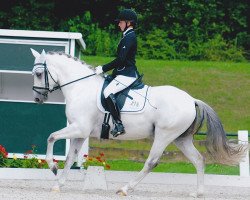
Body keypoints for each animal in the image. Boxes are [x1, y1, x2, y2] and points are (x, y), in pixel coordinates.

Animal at [30, 49, 245, 198]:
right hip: (181, 139)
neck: (80, 87)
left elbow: (51, 137)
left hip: (164, 135)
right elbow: (69, 158)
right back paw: (198, 193)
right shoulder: (81, 132)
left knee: (151, 162)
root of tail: (191, 99)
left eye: (39, 74)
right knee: (199, 160)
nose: (38, 99)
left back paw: (125, 189)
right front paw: (58, 184)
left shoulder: (79, 128)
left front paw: (52, 167)